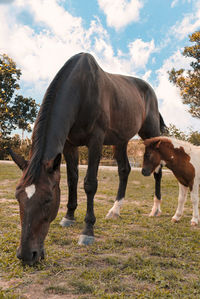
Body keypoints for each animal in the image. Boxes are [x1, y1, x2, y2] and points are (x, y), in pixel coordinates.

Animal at [9, 52, 166, 266]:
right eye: (18, 197)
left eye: (48, 199)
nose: (26, 255)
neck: (82, 88)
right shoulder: (69, 145)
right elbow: (72, 179)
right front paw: (69, 216)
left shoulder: (96, 141)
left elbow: (90, 184)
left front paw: (87, 231)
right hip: (121, 140)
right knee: (124, 170)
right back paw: (115, 210)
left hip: (150, 133)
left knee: (158, 170)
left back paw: (155, 209)